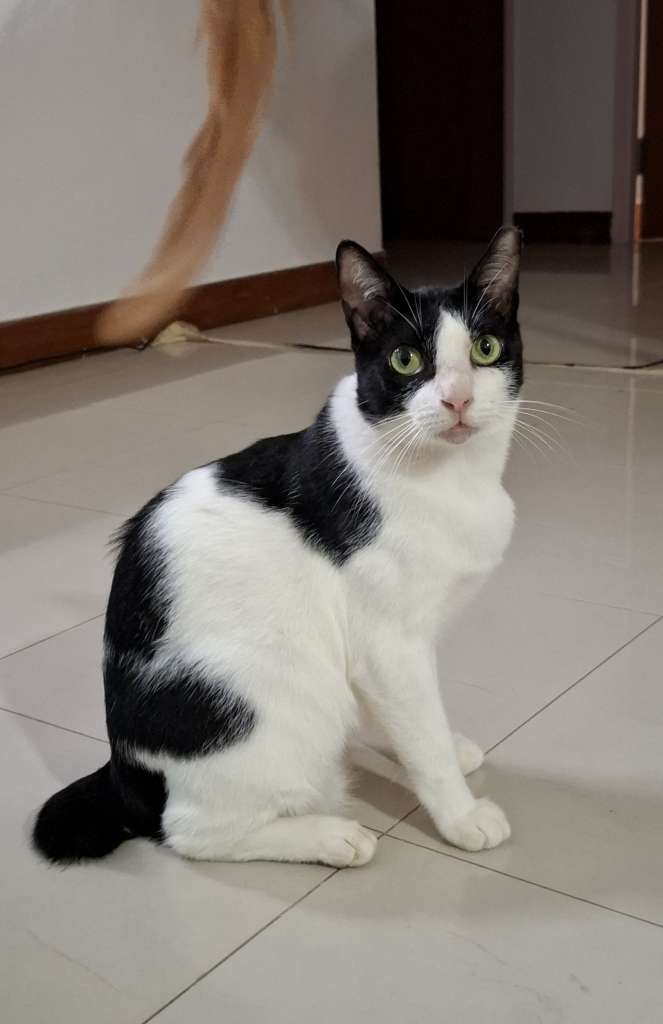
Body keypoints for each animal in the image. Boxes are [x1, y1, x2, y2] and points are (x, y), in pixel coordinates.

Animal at [33, 227, 522, 869]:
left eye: (485, 350)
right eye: (406, 360)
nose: (458, 400)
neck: (453, 477)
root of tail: (124, 771)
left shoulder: (381, 657)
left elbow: (408, 720)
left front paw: (434, 745)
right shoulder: (391, 644)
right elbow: (421, 734)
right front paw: (461, 815)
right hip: (264, 702)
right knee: (191, 832)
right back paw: (330, 835)